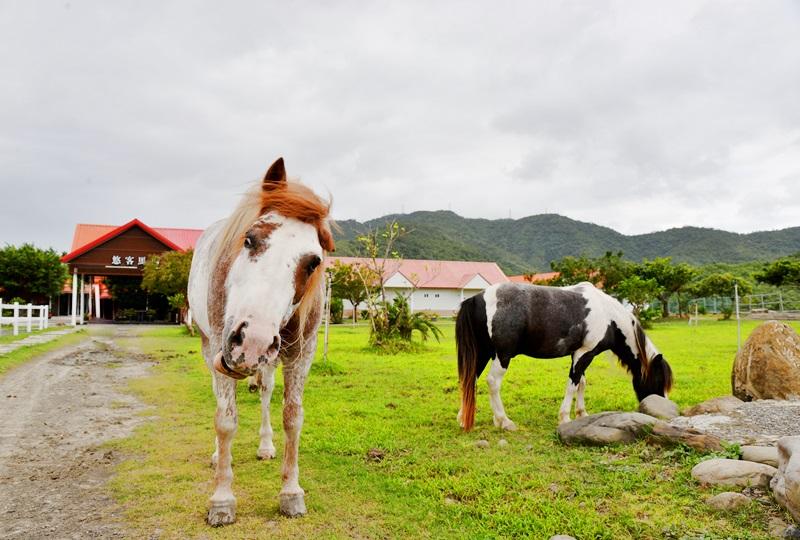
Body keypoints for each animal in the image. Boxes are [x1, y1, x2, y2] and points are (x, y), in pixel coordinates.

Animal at [188, 158, 334, 524]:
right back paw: (217, 455)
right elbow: (226, 420)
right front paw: (222, 499)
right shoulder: (222, 349)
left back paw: (266, 446)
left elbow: (292, 418)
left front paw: (291, 492)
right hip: (213, 347)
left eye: (313, 263)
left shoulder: (301, 354)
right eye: (250, 240)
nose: (250, 341)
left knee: (266, 392)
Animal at [454, 282, 672, 430]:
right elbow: (572, 384)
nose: (662, 410)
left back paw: (464, 418)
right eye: (658, 380)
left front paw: (581, 413)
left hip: (482, 354)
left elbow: (581, 383)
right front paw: (565, 417)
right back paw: (503, 421)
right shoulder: (583, 354)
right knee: (492, 382)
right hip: (502, 356)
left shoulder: (583, 354)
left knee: (470, 379)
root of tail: (477, 298)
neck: (608, 315)